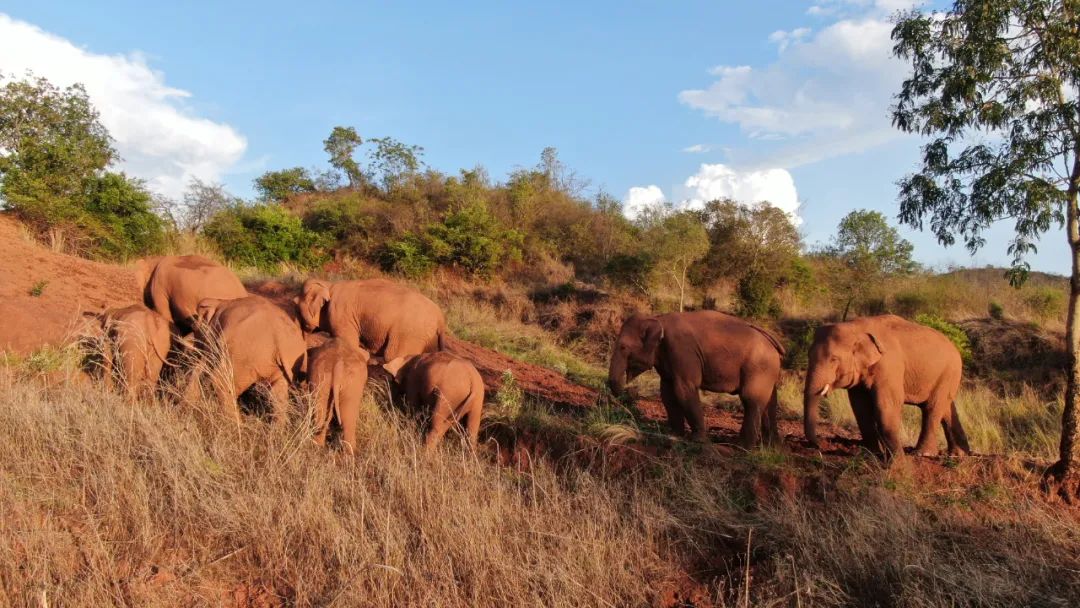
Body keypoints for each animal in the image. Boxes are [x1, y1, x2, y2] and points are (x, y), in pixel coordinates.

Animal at [188, 295, 307, 424]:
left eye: (194, 328)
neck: (219, 301)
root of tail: (280, 338)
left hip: (242, 354)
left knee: (222, 383)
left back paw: (235, 425)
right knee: (277, 394)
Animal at [295, 278, 447, 360]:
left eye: (296, 304)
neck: (329, 285)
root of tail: (441, 319)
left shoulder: (341, 315)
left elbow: (348, 344)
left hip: (409, 333)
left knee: (393, 356)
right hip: (428, 339)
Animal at [608, 311, 786, 449]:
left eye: (623, 347)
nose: (627, 394)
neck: (658, 318)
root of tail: (773, 342)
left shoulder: (682, 351)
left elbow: (684, 389)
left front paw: (698, 441)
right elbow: (667, 393)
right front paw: (674, 435)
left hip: (759, 368)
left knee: (751, 399)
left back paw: (741, 447)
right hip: (768, 371)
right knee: (770, 402)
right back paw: (773, 448)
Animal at [803, 314, 970, 459]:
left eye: (834, 359)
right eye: (808, 355)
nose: (819, 445)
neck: (856, 326)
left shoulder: (889, 365)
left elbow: (886, 404)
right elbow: (860, 407)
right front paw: (872, 452)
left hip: (948, 374)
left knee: (932, 408)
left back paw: (924, 454)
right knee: (946, 408)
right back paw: (959, 454)